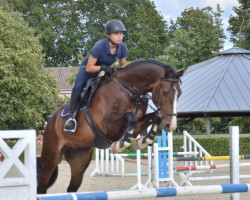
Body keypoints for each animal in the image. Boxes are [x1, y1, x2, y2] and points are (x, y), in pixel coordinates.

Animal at [36, 59, 186, 194]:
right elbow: (130, 117)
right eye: (165, 92)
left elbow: (154, 117)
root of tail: (50, 120)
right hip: (51, 157)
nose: (171, 125)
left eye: (179, 94)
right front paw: (121, 144)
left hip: (79, 159)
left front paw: (143, 141)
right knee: (42, 186)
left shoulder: (137, 125)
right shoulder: (108, 125)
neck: (130, 91)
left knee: (71, 188)